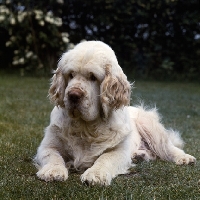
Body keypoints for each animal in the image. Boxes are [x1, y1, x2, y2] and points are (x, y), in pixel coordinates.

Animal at [34, 41, 195, 186]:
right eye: (71, 74)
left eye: (93, 77)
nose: (73, 95)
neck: (86, 127)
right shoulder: (47, 146)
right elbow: (53, 156)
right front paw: (53, 171)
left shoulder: (118, 150)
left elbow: (105, 158)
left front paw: (95, 174)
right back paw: (139, 156)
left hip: (150, 127)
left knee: (167, 148)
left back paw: (184, 158)